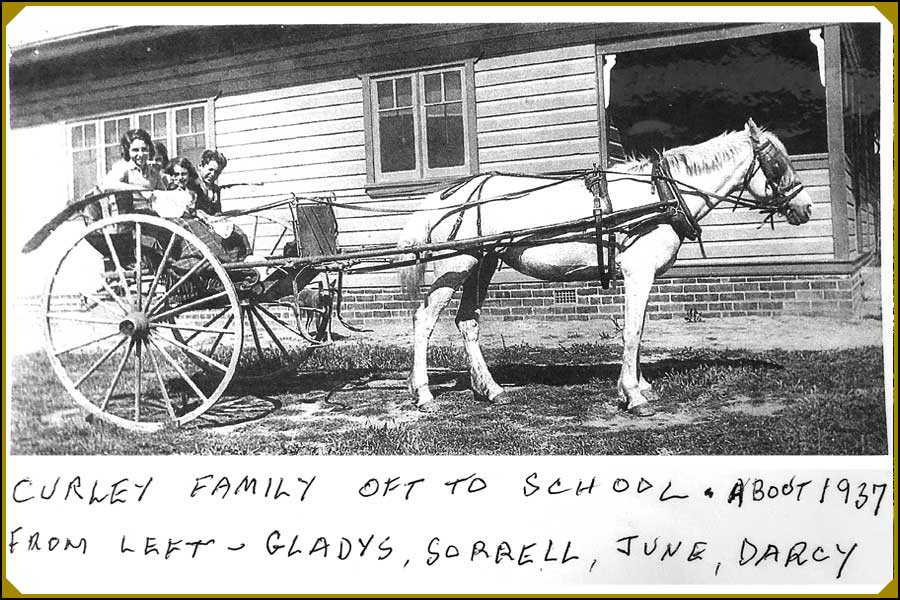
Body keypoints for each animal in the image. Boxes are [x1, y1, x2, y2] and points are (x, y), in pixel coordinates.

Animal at [398, 120, 812, 414]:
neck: (661, 196)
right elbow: (632, 331)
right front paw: (633, 395)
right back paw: (424, 393)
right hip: (456, 264)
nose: (805, 207)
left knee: (468, 322)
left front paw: (642, 387)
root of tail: (443, 196)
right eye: (777, 163)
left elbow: (639, 329)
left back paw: (491, 390)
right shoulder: (638, 272)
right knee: (424, 320)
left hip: (482, 263)